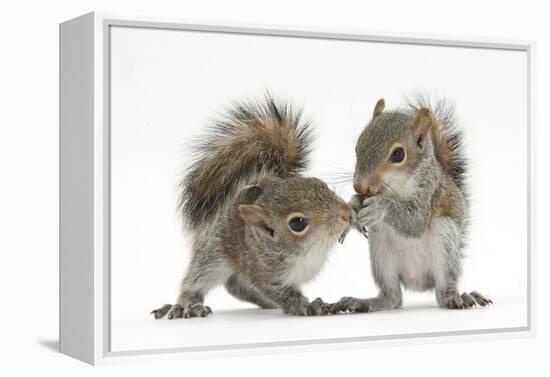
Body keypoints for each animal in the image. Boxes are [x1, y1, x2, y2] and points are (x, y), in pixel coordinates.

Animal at [153, 93, 352, 318]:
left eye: (320, 184)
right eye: (298, 223)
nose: (346, 213)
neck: (308, 250)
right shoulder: (262, 272)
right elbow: (281, 293)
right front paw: (305, 305)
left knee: (237, 286)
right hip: (213, 255)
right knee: (198, 280)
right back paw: (184, 305)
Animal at [334, 96, 494, 312]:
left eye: (398, 154)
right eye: (358, 146)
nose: (359, 185)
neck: (397, 186)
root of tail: (418, 283)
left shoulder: (429, 191)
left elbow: (415, 221)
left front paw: (379, 207)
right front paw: (352, 205)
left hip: (445, 242)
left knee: (442, 291)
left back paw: (458, 298)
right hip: (381, 253)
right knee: (393, 297)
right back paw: (364, 302)